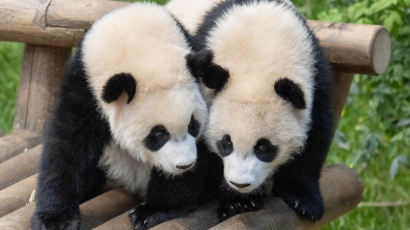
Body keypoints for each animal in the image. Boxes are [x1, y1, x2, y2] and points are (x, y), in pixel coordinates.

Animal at [31, 2, 210, 230]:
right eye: (158, 134)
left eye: (193, 126)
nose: (184, 165)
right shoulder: (84, 88)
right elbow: (67, 145)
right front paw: (56, 219)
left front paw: (153, 210)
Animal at [186, 0, 334, 221]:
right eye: (225, 143)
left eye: (263, 147)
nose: (240, 184)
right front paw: (238, 202)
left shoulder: (315, 77)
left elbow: (315, 137)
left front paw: (304, 201)